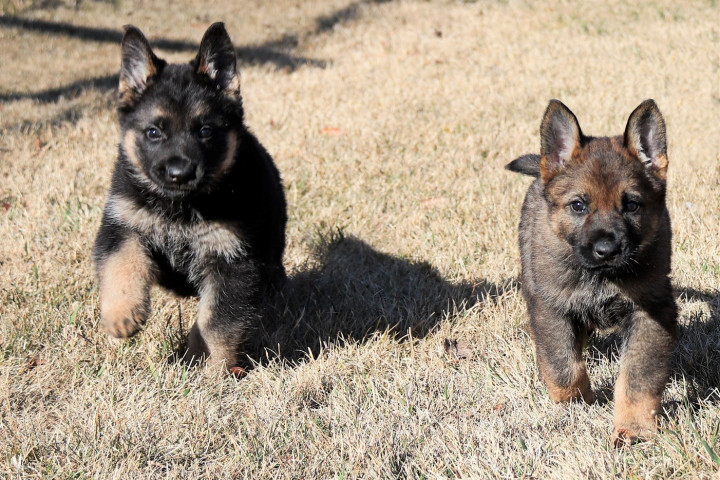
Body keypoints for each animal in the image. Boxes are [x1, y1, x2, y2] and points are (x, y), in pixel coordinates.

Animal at [93, 23, 286, 372]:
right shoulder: (123, 225)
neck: (180, 207)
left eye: (205, 131)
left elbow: (217, 323)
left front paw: (210, 368)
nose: (179, 173)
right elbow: (121, 265)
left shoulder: (234, 262)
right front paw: (121, 315)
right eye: (154, 132)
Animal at [504, 99, 676, 444]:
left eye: (632, 205)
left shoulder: (652, 311)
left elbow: (638, 378)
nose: (607, 250)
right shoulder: (551, 308)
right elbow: (563, 365)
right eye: (578, 205)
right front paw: (576, 402)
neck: (601, 277)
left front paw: (633, 428)